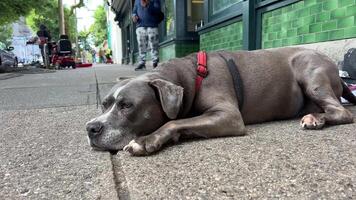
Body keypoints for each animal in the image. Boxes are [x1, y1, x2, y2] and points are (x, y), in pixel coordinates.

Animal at [86, 47, 356, 156]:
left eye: (126, 106)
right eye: (104, 104)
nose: (91, 128)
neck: (188, 76)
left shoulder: (229, 116)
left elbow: (172, 122)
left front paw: (144, 141)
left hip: (310, 73)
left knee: (342, 112)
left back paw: (316, 119)